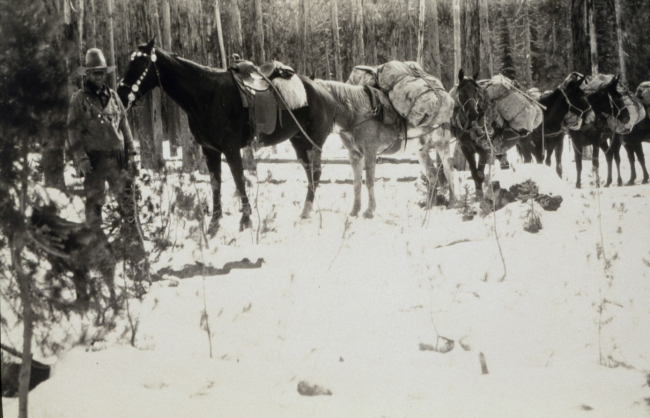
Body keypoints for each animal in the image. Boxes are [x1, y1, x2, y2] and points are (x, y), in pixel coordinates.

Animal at [314, 78, 456, 217]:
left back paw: (452, 203)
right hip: (421, 150)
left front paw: (369, 211)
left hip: (442, 145)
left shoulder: (370, 151)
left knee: (448, 171)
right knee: (432, 174)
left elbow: (369, 181)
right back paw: (429, 207)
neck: (358, 115)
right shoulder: (354, 154)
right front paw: (355, 211)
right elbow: (356, 183)